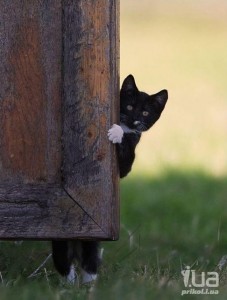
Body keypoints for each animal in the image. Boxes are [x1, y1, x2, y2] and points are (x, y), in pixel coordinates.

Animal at [51, 74, 168, 284]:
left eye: (145, 112)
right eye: (129, 106)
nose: (134, 119)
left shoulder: (127, 163)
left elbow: (126, 150)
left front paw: (116, 133)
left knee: (89, 251)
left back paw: (89, 282)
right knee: (62, 253)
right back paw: (69, 281)